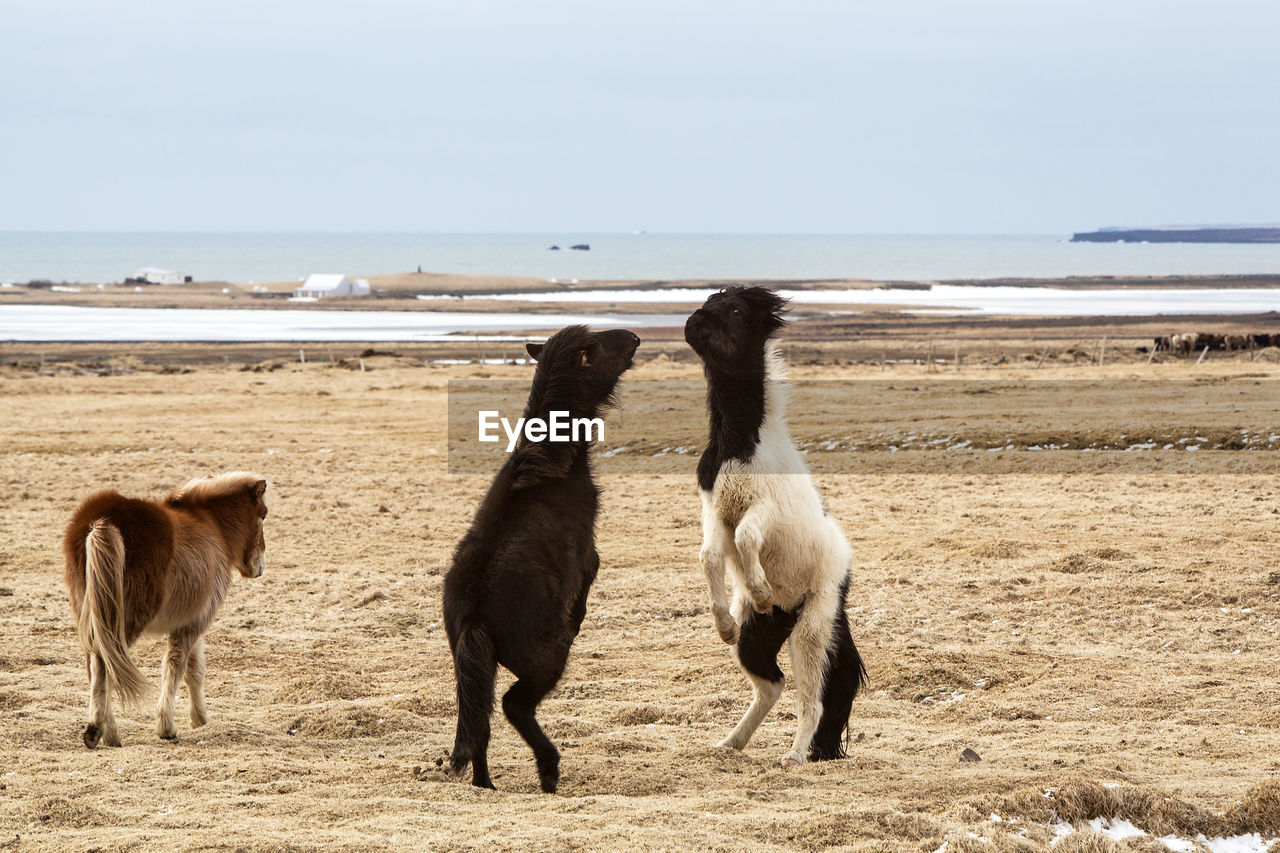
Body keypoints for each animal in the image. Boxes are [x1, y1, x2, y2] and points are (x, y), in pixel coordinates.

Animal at [63, 471, 268, 742]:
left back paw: (105, 731)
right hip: (120, 621)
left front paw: (199, 719)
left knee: (95, 663)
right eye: (263, 514)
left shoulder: (189, 620)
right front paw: (167, 726)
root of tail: (101, 523)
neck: (212, 526)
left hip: (91, 615)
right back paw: (102, 731)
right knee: (104, 663)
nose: (260, 566)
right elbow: (176, 666)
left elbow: (194, 669)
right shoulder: (195, 622)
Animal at [442, 322, 640, 788]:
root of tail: (473, 614)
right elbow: (590, 575)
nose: (635, 338)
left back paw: (485, 784)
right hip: (544, 662)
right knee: (514, 706)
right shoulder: (587, 554)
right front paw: (579, 615)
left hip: (476, 670)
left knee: (480, 724)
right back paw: (548, 770)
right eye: (598, 346)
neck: (552, 465)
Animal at [680, 285, 870, 763]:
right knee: (771, 685)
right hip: (759, 637)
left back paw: (795, 755)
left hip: (812, 628)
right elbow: (710, 555)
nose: (692, 322)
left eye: (734, 309)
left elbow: (747, 537)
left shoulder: (763, 508)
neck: (741, 444)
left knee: (812, 699)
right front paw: (723, 622)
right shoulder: (715, 511)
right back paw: (729, 743)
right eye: (707, 301)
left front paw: (761, 589)